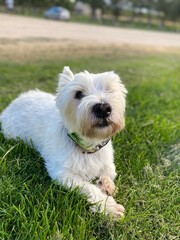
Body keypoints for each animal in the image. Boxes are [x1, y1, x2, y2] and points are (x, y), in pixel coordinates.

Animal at [0, 66, 126, 218]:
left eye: (109, 90)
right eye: (78, 94)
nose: (103, 108)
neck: (87, 146)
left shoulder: (107, 160)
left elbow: (109, 172)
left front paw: (106, 185)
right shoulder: (63, 173)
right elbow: (88, 187)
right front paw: (109, 207)